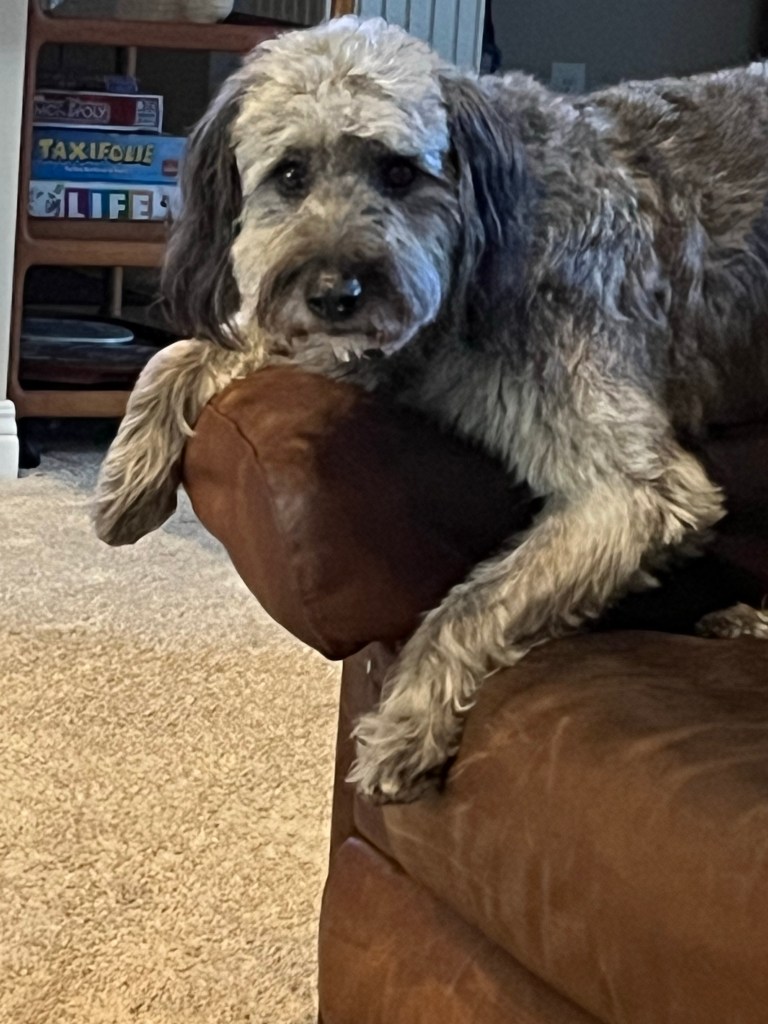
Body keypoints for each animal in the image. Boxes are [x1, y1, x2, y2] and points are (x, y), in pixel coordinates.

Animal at [94, 16, 768, 802]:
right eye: (290, 173)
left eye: (399, 173)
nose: (335, 292)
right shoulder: (352, 345)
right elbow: (177, 353)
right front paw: (126, 482)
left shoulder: (634, 494)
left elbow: (470, 604)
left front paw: (405, 724)